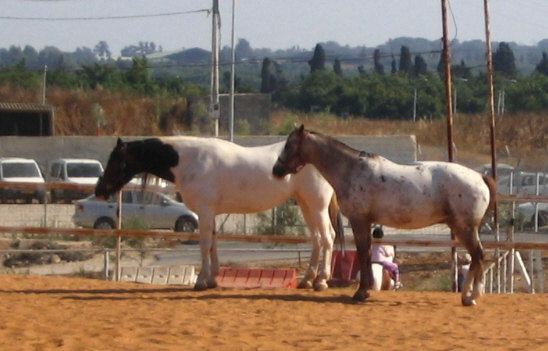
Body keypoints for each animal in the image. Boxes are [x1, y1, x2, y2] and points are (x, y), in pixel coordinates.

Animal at [94, 136, 342, 292]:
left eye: (116, 160)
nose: (99, 191)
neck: (190, 161)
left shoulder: (204, 210)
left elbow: (204, 243)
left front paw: (201, 281)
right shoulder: (210, 212)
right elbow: (213, 242)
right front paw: (213, 278)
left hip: (317, 204)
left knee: (327, 237)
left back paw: (321, 281)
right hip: (305, 203)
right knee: (317, 239)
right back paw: (307, 280)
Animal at [274, 125, 496, 306]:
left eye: (289, 145)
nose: (276, 170)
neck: (352, 170)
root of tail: (480, 177)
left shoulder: (359, 221)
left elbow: (363, 253)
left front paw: (361, 292)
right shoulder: (366, 223)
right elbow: (367, 253)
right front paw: (366, 290)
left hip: (465, 228)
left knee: (478, 256)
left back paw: (471, 297)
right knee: (477, 258)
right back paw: (468, 295)